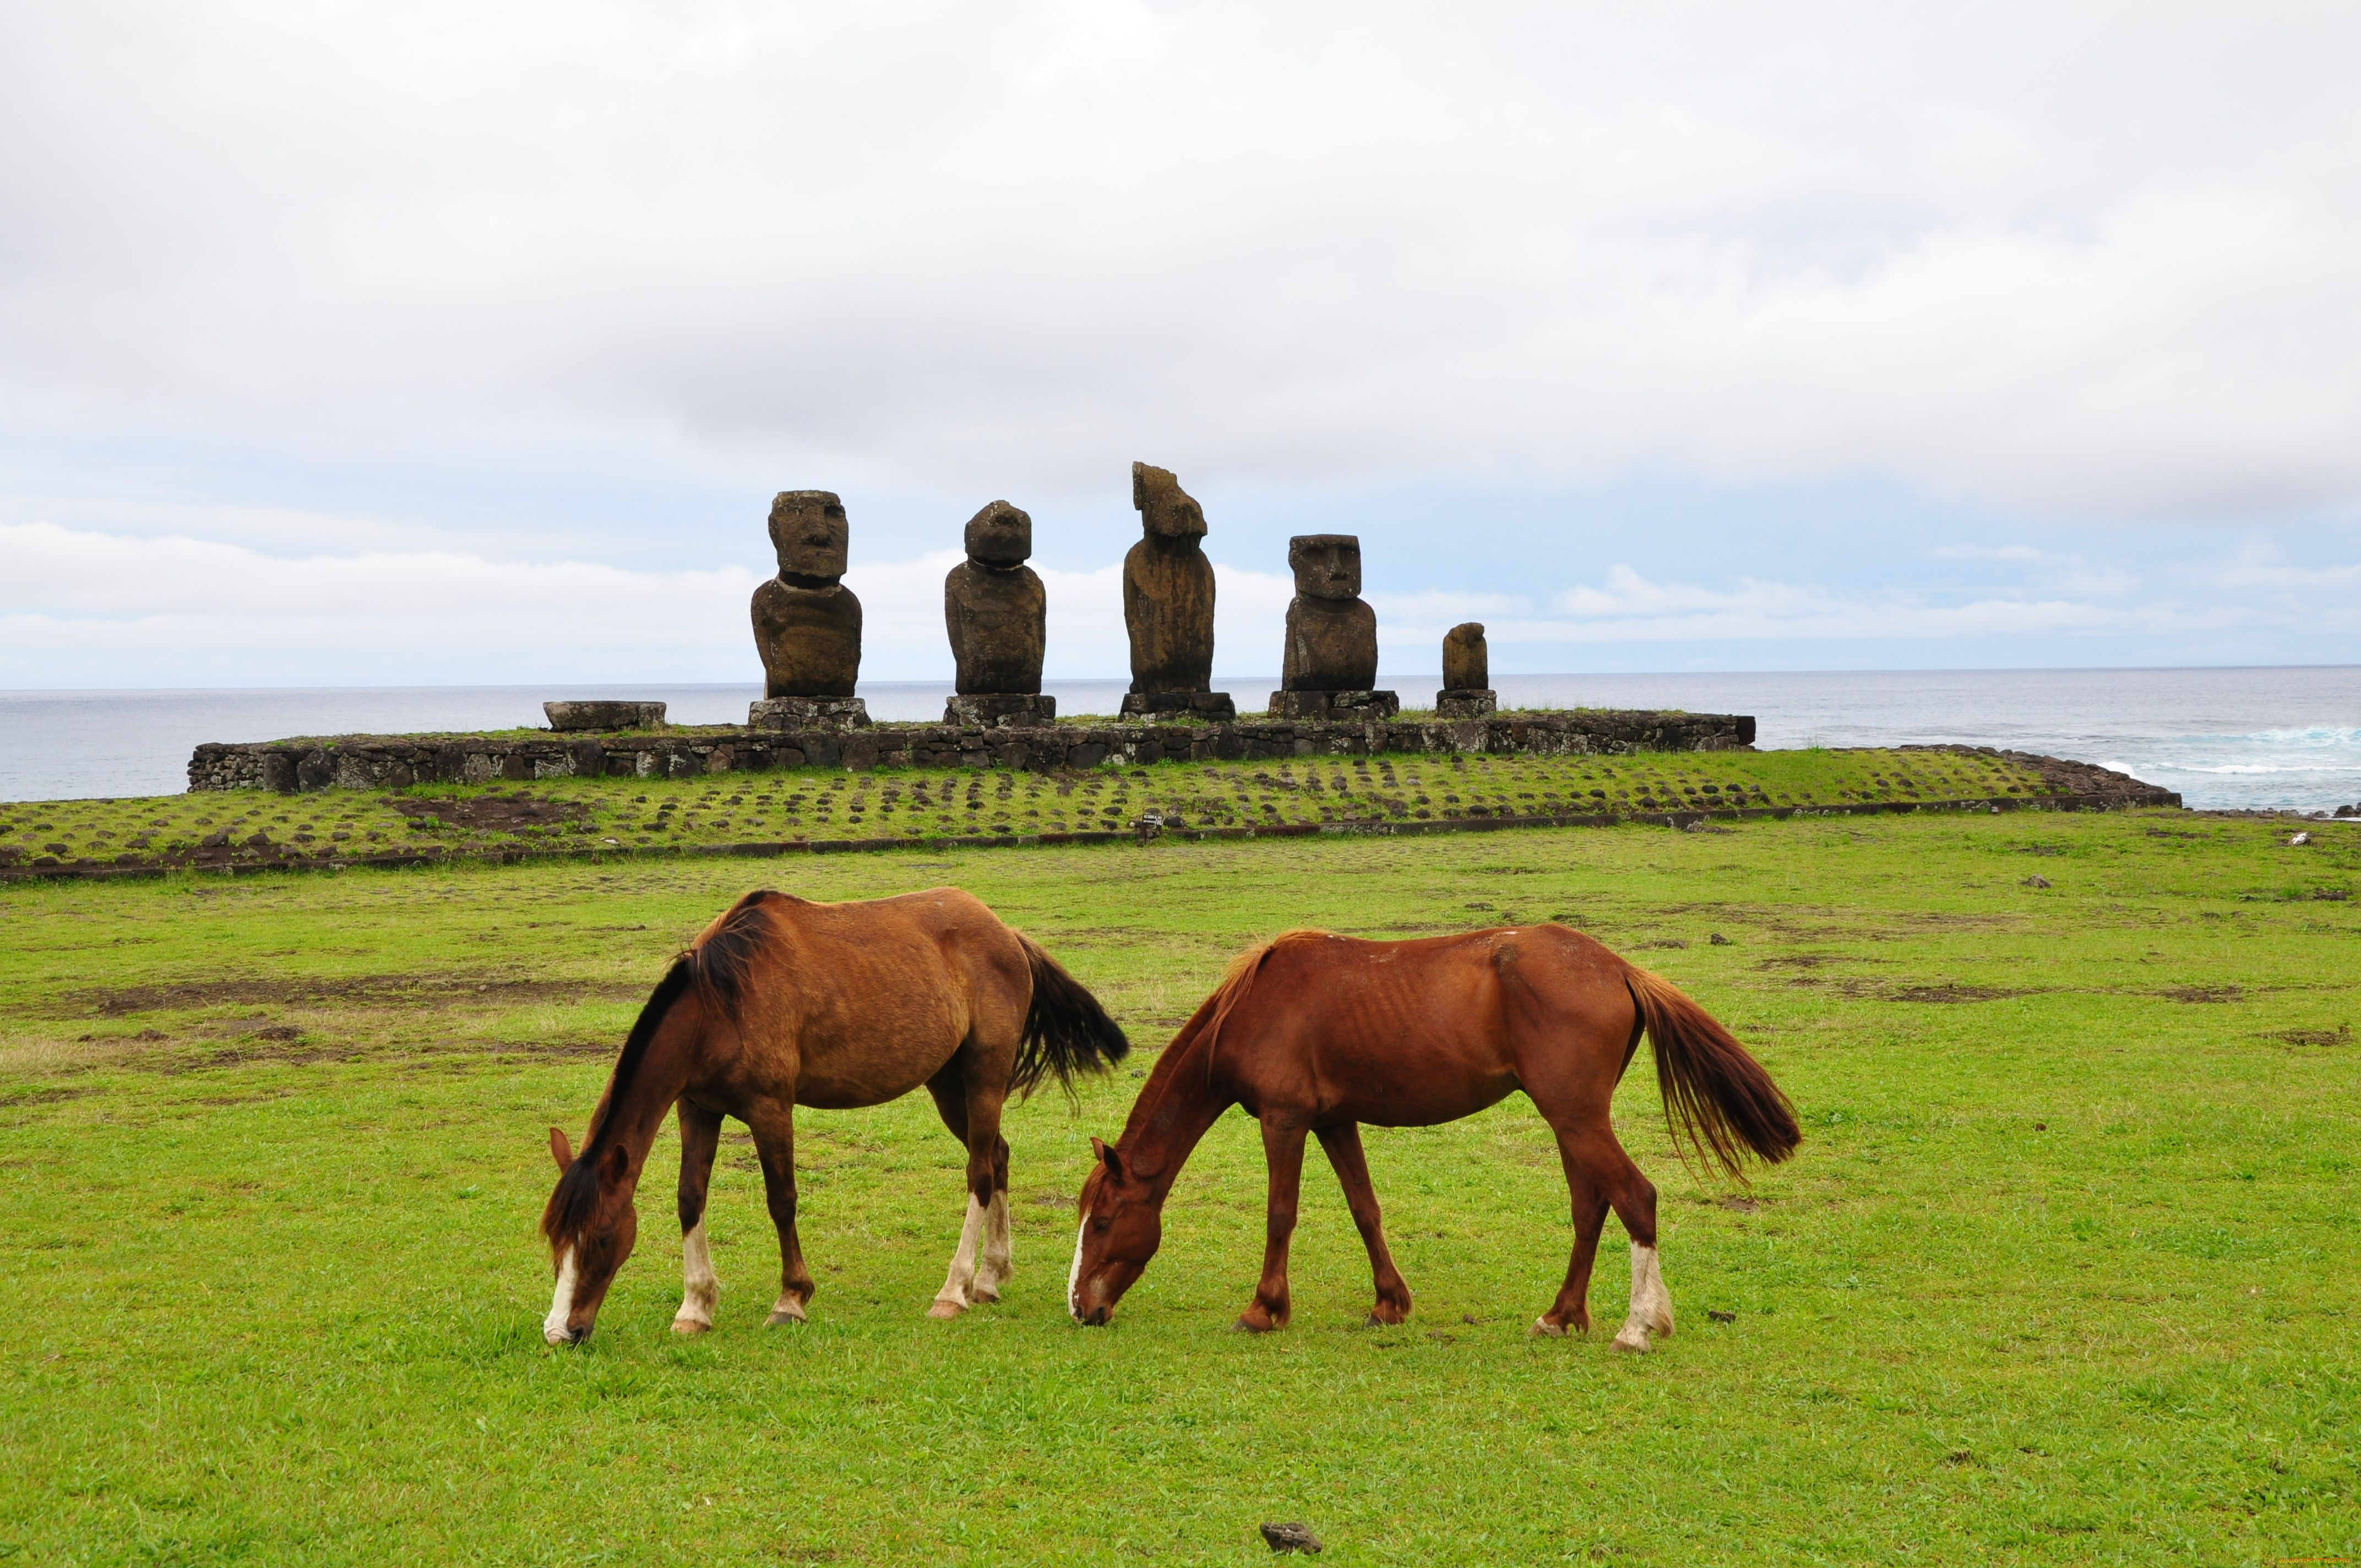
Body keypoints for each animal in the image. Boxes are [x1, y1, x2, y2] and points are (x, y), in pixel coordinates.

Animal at [540, 888, 1124, 1341]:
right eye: (555, 1239)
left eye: (600, 1238)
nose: (561, 1332)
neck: (721, 1003)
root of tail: (1006, 933)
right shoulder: (697, 1109)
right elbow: (690, 1199)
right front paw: (696, 1307)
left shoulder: (770, 1108)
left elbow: (781, 1201)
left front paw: (791, 1300)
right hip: (947, 1083)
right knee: (997, 1156)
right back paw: (990, 1278)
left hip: (985, 1074)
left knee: (980, 1172)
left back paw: (954, 1290)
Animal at [1062, 930, 1794, 1351]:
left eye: (1102, 1221)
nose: (1079, 1309)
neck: (1255, 1004)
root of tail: (1617, 967)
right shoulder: (1333, 1120)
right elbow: (1365, 1210)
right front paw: (1390, 1303)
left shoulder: (1284, 1118)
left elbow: (1280, 1214)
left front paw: (1264, 1309)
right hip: (1572, 1121)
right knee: (1591, 1208)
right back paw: (1560, 1316)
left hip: (1576, 1117)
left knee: (1636, 1197)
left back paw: (1638, 1327)